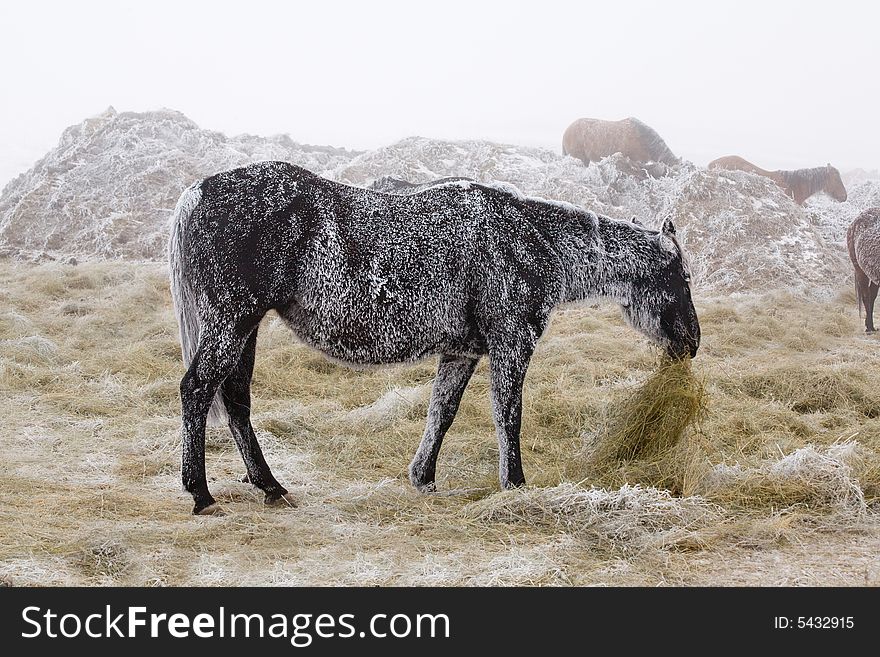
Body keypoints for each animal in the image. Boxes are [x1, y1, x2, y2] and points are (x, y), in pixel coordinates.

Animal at [168, 161, 696, 516]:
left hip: (245, 327)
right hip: (232, 322)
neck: (530, 240)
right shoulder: (512, 343)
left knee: (235, 399)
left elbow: (441, 413)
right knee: (198, 389)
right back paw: (201, 494)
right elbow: (508, 416)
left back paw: (270, 487)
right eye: (684, 277)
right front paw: (515, 485)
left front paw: (422, 478)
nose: (691, 343)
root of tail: (197, 191)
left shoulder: (462, 352)